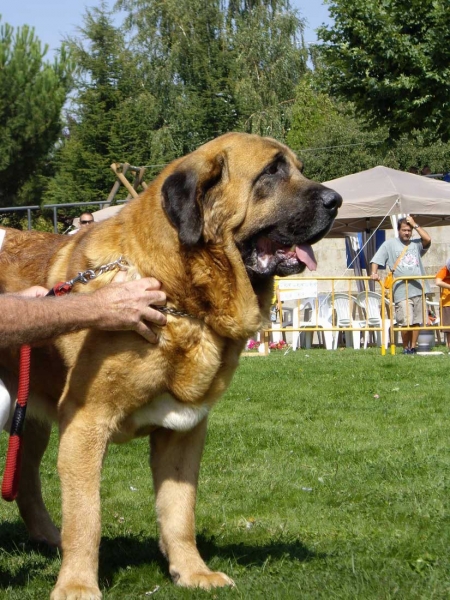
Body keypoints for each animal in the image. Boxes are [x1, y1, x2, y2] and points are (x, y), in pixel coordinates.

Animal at [0, 134, 340, 596]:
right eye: (271, 171)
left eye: (298, 169)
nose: (336, 200)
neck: (183, 298)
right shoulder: (85, 423)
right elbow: (86, 516)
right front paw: (77, 585)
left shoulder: (184, 430)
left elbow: (180, 511)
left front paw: (193, 572)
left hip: (30, 416)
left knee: (26, 479)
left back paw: (48, 537)